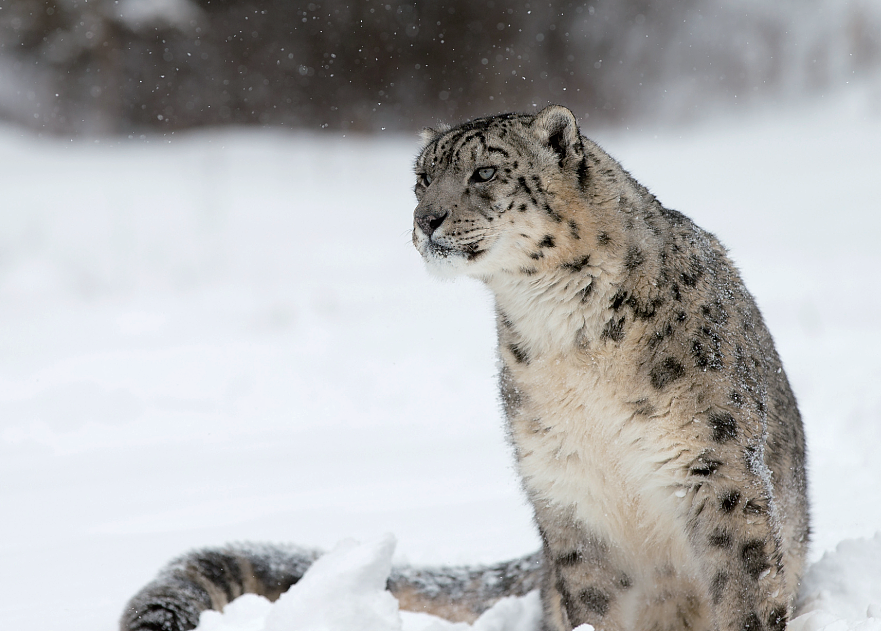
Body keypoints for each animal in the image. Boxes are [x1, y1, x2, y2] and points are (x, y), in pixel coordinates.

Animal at [120, 106, 808, 628]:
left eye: (484, 171)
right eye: (421, 180)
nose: (426, 220)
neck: (567, 336)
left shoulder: (714, 467)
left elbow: (744, 588)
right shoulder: (569, 489)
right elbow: (597, 603)